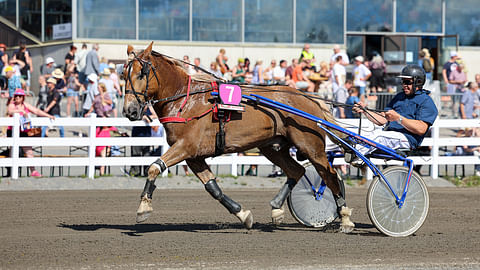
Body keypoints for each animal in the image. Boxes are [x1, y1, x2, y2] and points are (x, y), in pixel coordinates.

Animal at [124, 42, 354, 232]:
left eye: (142, 73)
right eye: (124, 73)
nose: (130, 110)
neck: (185, 100)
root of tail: (307, 98)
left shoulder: (185, 147)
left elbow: (154, 167)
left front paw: (143, 208)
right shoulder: (194, 156)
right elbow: (213, 188)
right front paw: (243, 215)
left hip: (310, 146)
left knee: (329, 175)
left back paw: (344, 217)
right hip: (271, 147)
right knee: (296, 171)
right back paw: (276, 209)